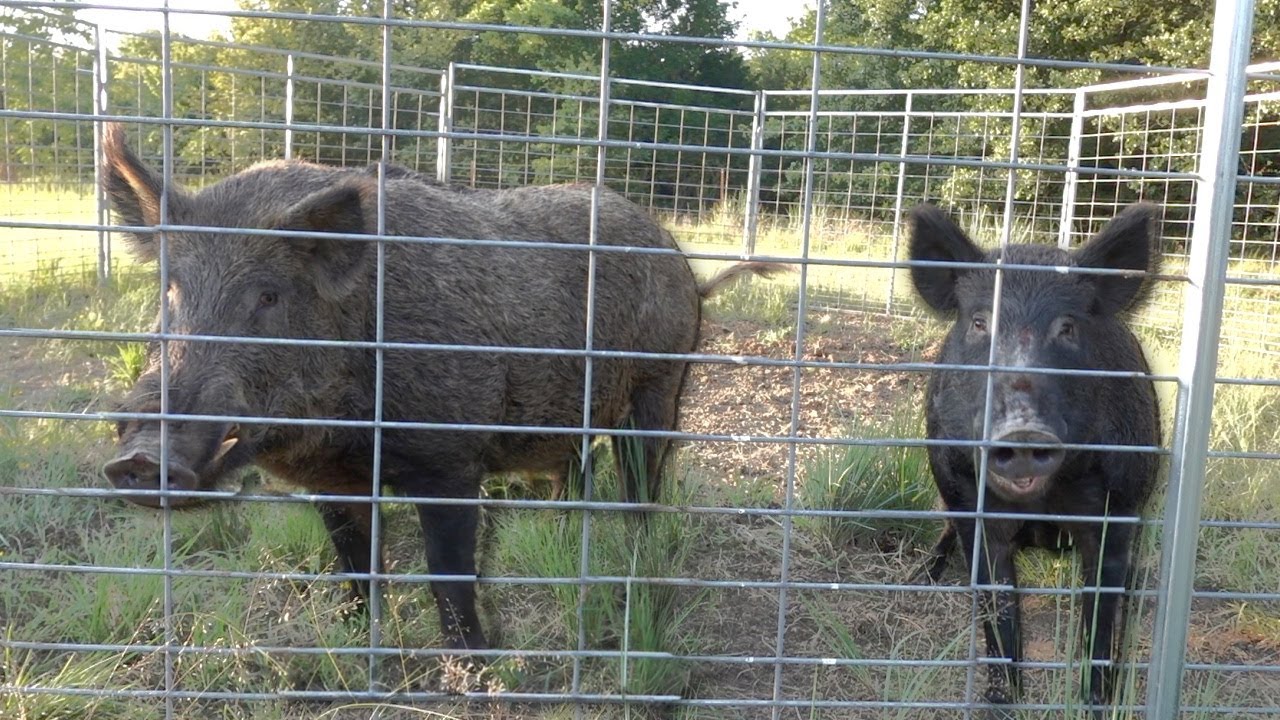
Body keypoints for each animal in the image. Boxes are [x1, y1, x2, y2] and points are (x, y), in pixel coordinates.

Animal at [98, 122, 781, 654]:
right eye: (170, 290)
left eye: (268, 295)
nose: (141, 459)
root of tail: (679, 257)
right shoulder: (334, 480)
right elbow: (355, 561)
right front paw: (353, 633)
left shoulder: (450, 456)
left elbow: (448, 570)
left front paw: (474, 661)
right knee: (576, 473)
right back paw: (562, 534)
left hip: (661, 380)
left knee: (642, 482)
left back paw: (635, 562)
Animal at [907, 203, 1162, 715]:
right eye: (978, 323)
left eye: (1067, 327)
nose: (1023, 430)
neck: (1044, 504)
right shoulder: (967, 499)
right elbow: (997, 607)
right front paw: (1002, 703)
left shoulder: (1121, 505)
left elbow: (1102, 612)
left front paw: (1097, 705)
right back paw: (921, 580)